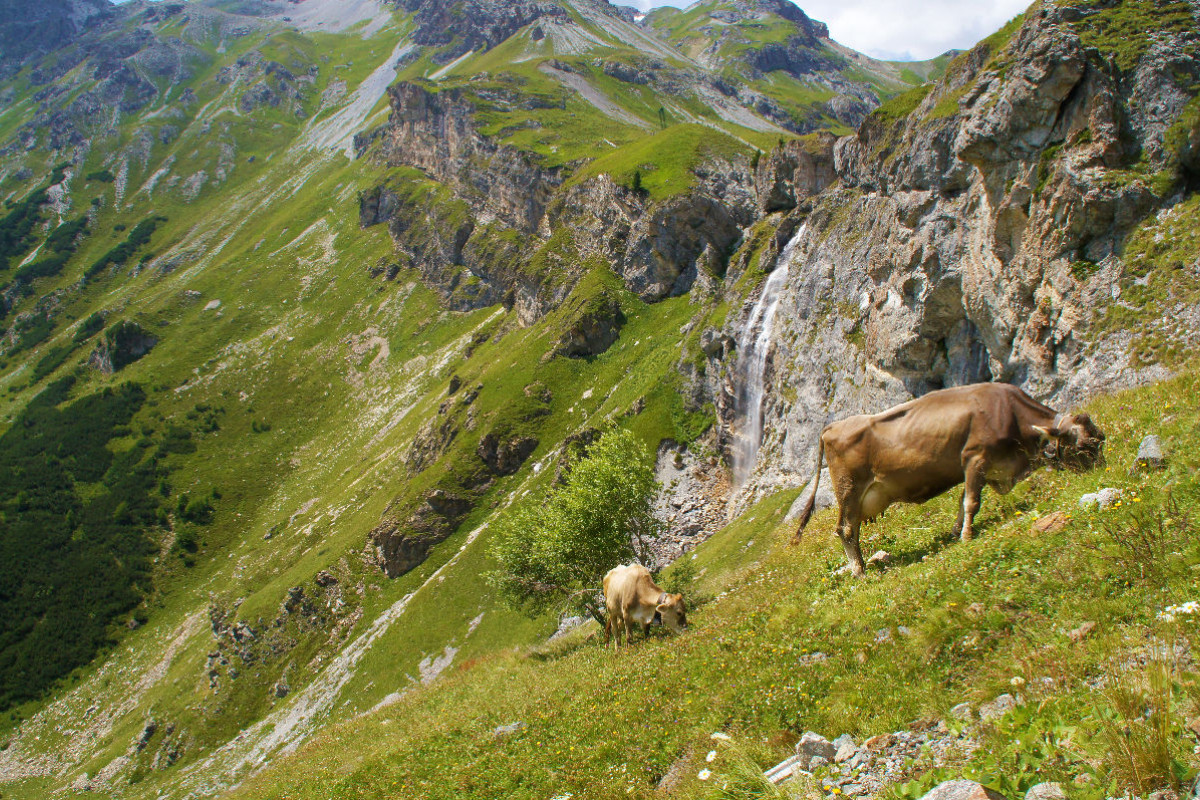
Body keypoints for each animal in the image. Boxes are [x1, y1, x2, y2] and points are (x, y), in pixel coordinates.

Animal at [792, 381, 1099, 575]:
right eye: (1087, 446)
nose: (1099, 471)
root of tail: (833, 426)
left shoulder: (974, 467)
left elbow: (963, 500)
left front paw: (955, 531)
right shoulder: (976, 457)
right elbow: (972, 501)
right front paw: (967, 536)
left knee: (851, 529)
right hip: (849, 490)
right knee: (845, 529)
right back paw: (859, 571)